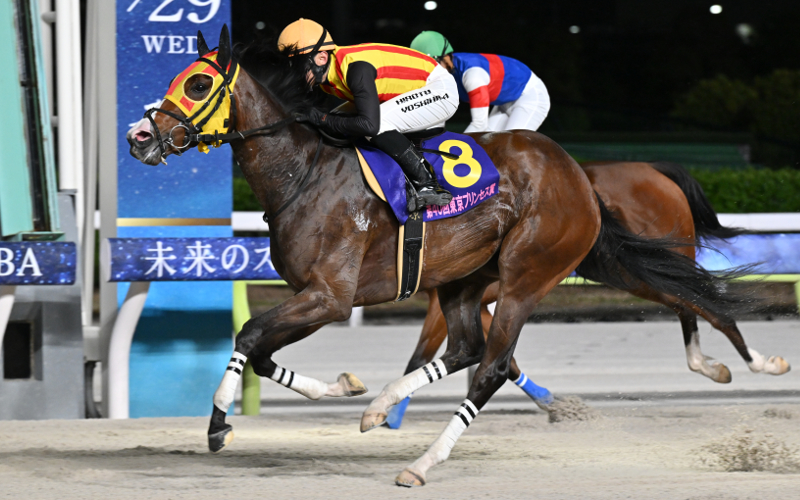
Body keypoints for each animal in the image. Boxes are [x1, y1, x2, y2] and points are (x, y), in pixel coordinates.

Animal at [396, 161, 790, 418]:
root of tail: (655, 170)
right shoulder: (481, 296)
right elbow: (495, 357)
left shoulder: (462, 296)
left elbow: (421, 356)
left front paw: (391, 416)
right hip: (633, 269)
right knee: (688, 305)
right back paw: (711, 365)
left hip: (650, 261)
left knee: (706, 304)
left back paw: (762, 363)